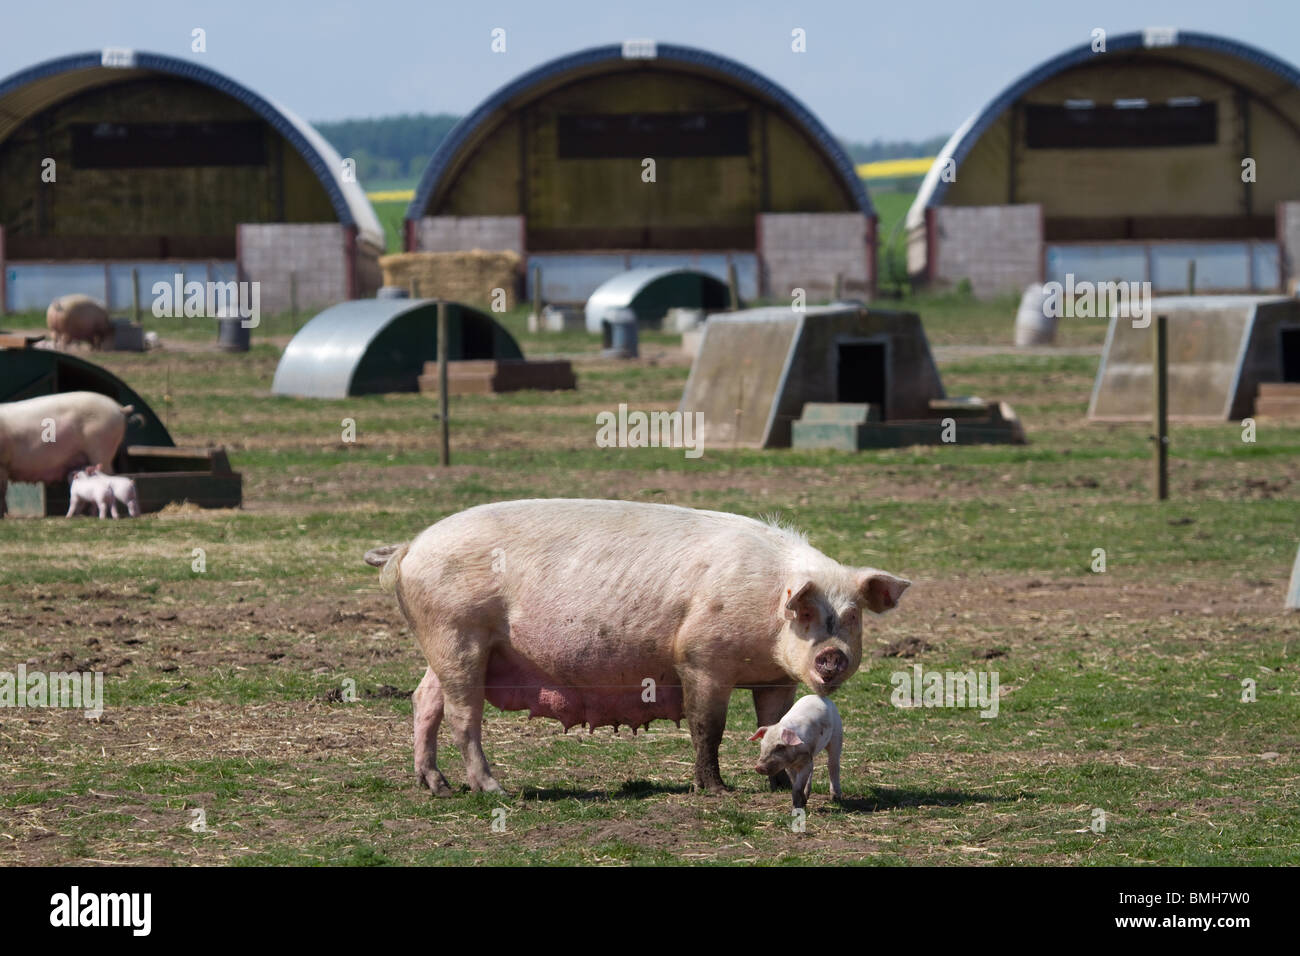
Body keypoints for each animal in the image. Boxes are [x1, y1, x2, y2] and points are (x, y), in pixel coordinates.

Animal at [366, 502, 915, 801]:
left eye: (852, 617)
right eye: (803, 613)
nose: (831, 657)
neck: (765, 608)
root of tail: (408, 547)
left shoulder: (774, 678)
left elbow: (773, 719)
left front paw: (778, 786)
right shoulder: (699, 658)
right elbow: (706, 727)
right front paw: (715, 790)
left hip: (445, 646)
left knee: (424, 700)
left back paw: (436, 786)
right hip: (457, 634)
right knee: (464, 715)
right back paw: (494, 789)